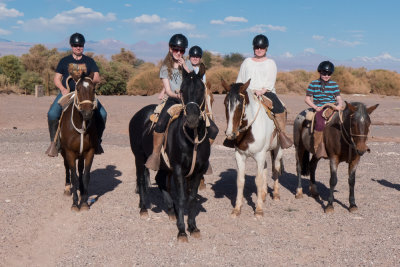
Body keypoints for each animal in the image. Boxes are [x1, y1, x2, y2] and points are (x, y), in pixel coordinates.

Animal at [58, 73, 99, 211]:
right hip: (64, 152)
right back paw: (67, 188)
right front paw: (75, 203)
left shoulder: (90, 151)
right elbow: (74, 176)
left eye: (93, 89)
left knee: (80, 169)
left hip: (81, 154)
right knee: (67, 168)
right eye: (78, 89)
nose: (87, 113)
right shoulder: (69, 152)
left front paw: (85, 202)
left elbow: (86, 175)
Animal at [130, 65, 211, 243]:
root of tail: (137, 115)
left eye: (201, 89)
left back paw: (170, 211)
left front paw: (193, 227)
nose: (192, 119)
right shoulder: (179, 169)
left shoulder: (198, 171)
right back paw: (143, 209)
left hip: (163, 165)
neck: (192, 138)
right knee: (141, 180)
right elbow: (181, 198)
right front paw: (181, 231)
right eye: (182, 90)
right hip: (139, 158)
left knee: (160, 180)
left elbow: (192, 198)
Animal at [222, 79, 284, 218]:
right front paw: (237, 209)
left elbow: (258, 180)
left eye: (240, 105)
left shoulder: (260, 155)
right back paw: (263, 194)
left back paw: (276, 194)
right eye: (225, 103)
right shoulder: (239, 156)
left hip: (278, 149)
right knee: (266, 168)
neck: (249, 130)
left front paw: (259, 210)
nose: (230, 134)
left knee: (276, 169)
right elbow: (240, 180)